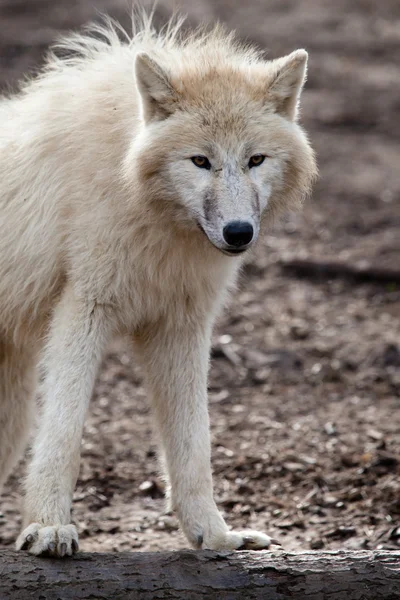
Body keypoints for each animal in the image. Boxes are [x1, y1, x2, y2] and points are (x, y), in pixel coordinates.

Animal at [0, 12, 318, 556]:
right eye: (200, 161)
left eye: (255, 160)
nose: (239, 232)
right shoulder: (83, 310)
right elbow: (63, 433)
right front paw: (47, 527)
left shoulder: (181, 328)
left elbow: (195, 446)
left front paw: (215, 535)